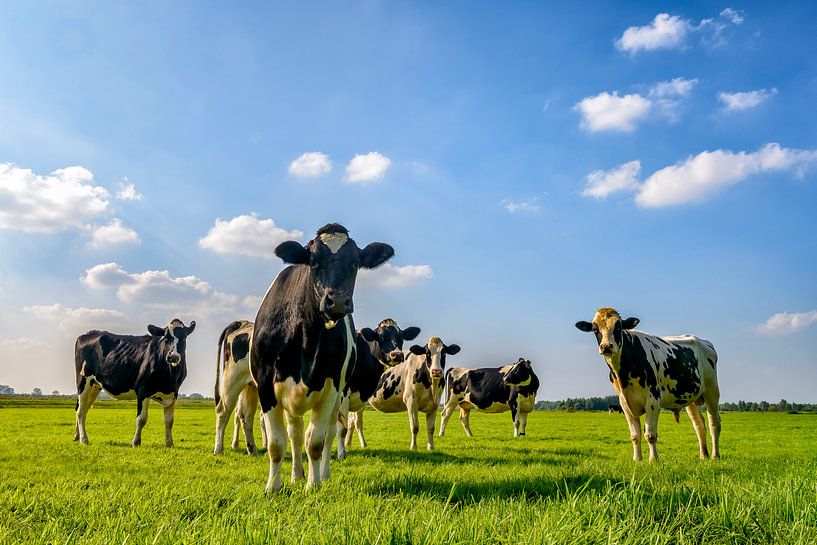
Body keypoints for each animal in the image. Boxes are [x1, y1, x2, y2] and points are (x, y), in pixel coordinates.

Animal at [71, 318, 196, 446]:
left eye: (184, 337)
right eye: (166, 337)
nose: (173, 357)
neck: (169, 377)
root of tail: (86, 334)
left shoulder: (174, 393)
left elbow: (169, 420)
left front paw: (169, 443)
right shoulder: (143, 390)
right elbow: (141, 419)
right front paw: (136, 442)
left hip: (95, 385)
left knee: (83, 408)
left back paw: (77, 436)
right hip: (83, 381)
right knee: (80, 411)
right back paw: (83, 439)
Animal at [214, 318, 262, 454]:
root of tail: (241, 323)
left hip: (251, 386)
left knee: (244, 416)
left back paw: (252, 450)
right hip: (232, 380)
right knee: (223, 411)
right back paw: (218, 449)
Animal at [250, 223, 394, 490]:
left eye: (355, 263)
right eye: (314, 261)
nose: (337, 300)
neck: (306, 336)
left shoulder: (332, 387)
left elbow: (315, 441)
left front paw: (313, 485)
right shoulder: (265, 384)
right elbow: (277, 443)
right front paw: (273, 487)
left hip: (339, 396)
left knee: (328, 433)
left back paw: (321, 475)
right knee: (295, 433)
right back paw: (296, 475)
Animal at [334, 318, 418, 460]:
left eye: (401, 337)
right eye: (381, 337)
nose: (397, 355)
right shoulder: (342, 395)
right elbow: (341, 428)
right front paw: (341, 454)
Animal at [572, 306, 720, 460]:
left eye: (618, 327)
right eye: (595, 329)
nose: (606, 346)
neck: (624, 374)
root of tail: (703, 341)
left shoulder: (653, 400)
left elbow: (650, 434)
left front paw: (653, 459)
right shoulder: (624, 403)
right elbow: (635, 435)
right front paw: (637, 459)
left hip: (712, 390)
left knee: (714, 423)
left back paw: (715, 455)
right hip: (690, 397)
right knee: (699, 425)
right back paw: (703, 456)